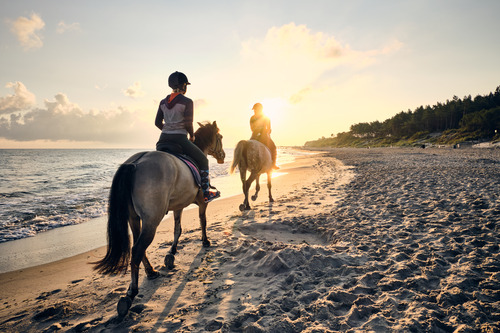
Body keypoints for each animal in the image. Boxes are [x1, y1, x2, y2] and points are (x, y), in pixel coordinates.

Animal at [93, 120, 225, 316]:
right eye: (220, 137)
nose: (223, 156)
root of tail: (135, 163)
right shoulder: (202, 202)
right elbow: (203, 221)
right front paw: (205, 241)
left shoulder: (178, 206)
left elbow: (177, 229)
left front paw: (171, 254)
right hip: (152, 220)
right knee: (137, 249)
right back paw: (131, 293)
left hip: (134, 218)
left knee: (137, 246)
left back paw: (150, 271)